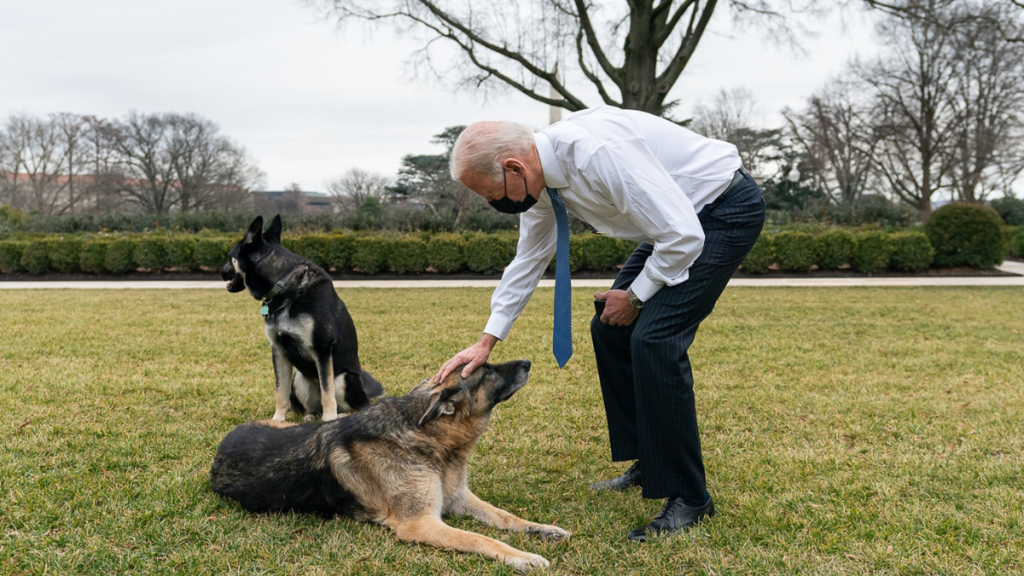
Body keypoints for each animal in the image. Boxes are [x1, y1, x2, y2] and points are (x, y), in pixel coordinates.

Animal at [209, 358, 569, 569]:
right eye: (489, 370)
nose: (528, 362)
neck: (426, 435)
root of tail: (222, 447)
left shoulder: (457, 498)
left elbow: (506, 517)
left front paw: (543, 529)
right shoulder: (419, 523)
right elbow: (481, 538)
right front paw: (522, 556)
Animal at [221, 213, 385, 420]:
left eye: (230, 257)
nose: (220, 272)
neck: (283, 284)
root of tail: (366, 395)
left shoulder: (322, 350)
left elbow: (327, 392)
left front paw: (329, 420)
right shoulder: (279, 351)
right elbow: (280, 392)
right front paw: (277, 420)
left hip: (343, 378)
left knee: (353, 407)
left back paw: (338, 416)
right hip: (299, 378)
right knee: (312, 407)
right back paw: (310, 416)